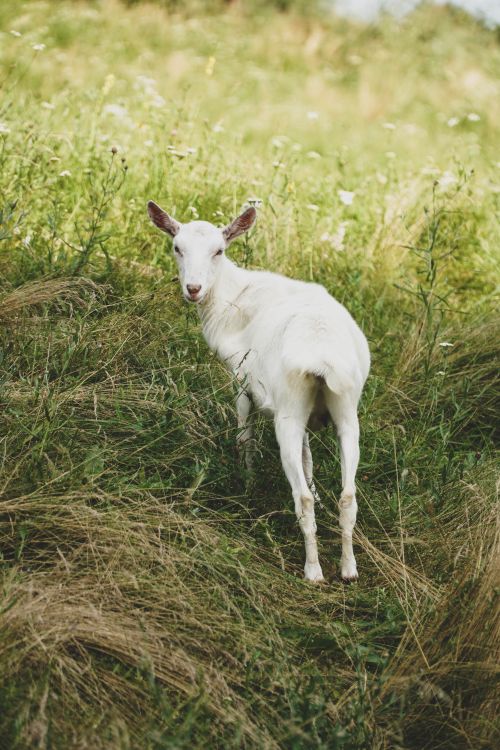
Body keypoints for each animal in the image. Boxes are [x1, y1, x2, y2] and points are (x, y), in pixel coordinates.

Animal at [147, 201, 370, 582]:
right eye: (177, 247)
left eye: (219, 251)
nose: (193, 288)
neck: (231, 298)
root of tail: (323, 358)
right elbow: (309, 458)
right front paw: (315, 489)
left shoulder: (241, 379)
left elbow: (244, 436)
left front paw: (246, 483)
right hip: (342, 410)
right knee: (349, 495)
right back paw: (348, 569)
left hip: (288, 415)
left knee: (300, 499)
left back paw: (313, 571)